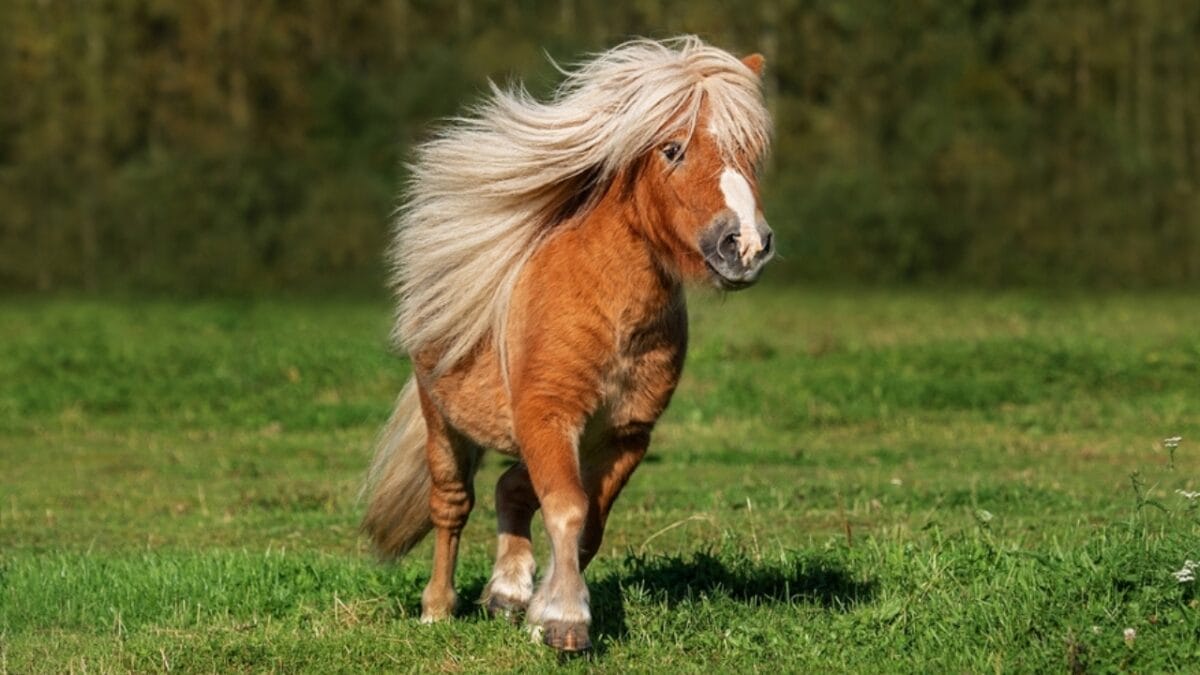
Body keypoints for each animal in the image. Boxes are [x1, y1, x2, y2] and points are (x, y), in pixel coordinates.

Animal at [362, 36, 774, 652]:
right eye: (672, 149)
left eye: (752, 153)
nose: (745, 245)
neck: (607, 307)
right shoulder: (549, 415)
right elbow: (567, 510)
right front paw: (564, 622)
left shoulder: (625, 433)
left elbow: (588, 524)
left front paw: (541, 609)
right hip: (445, 423)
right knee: (453, 505)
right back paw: (438, 608)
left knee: (511, 487)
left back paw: (507, 592)